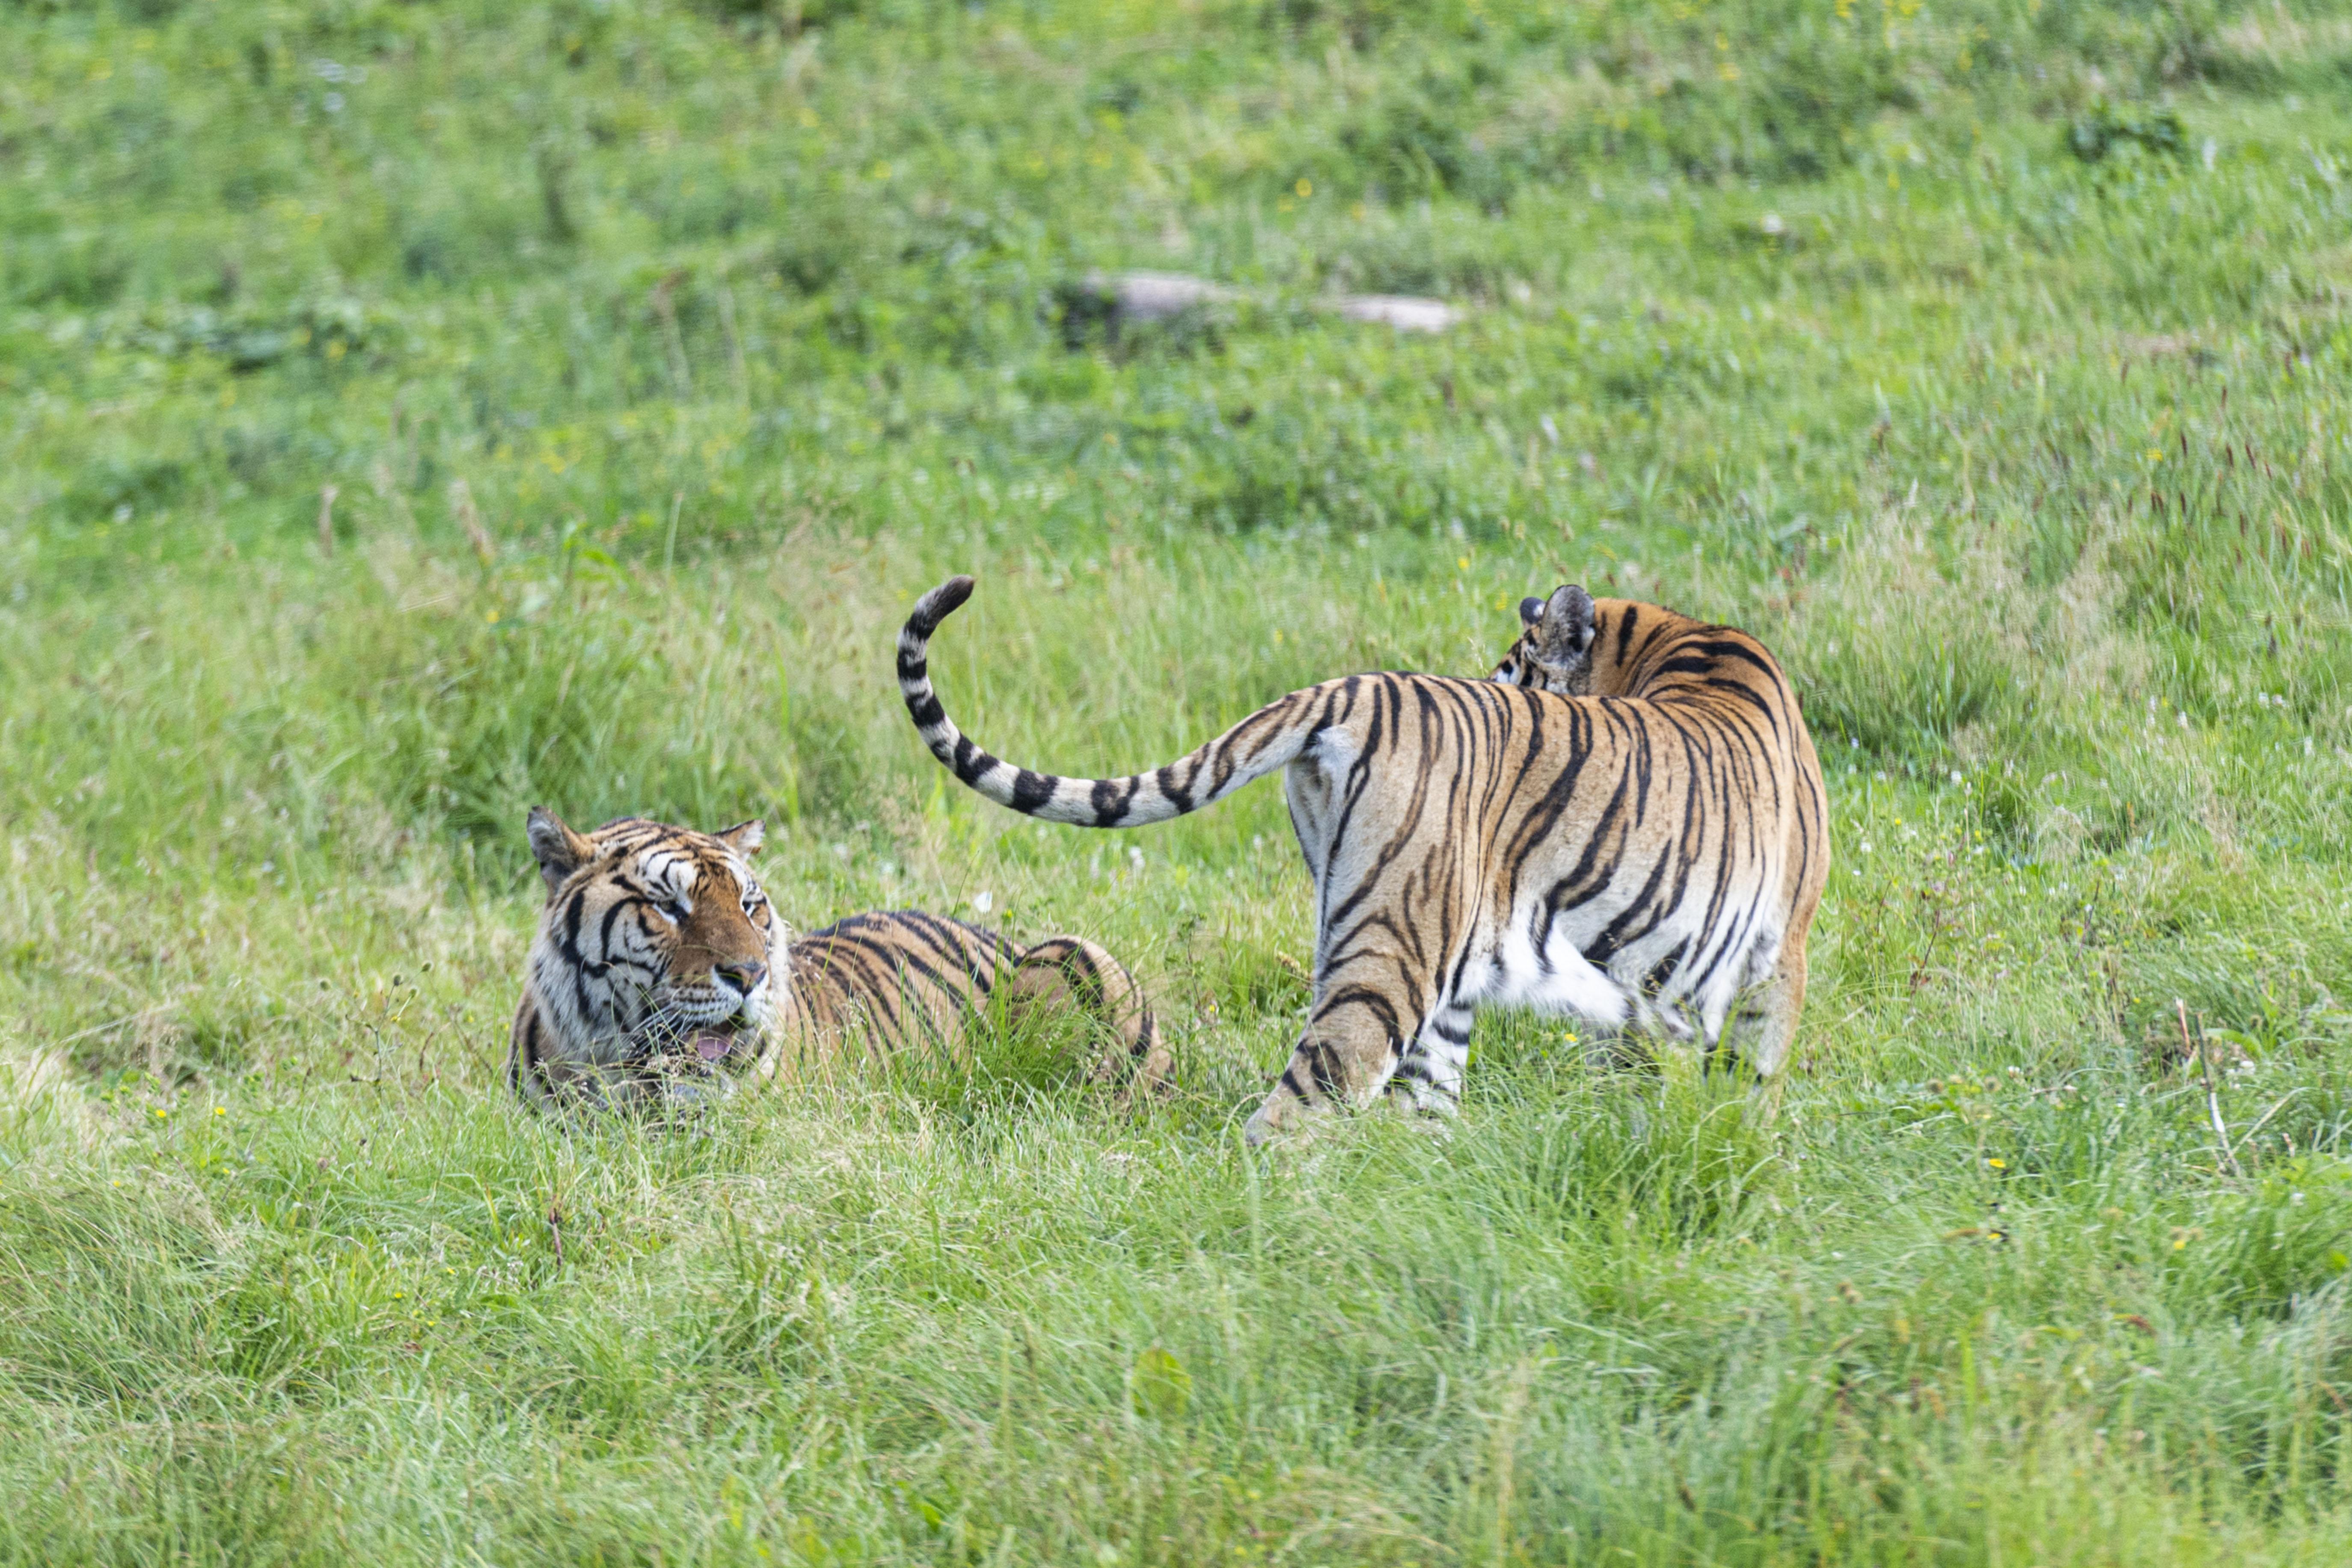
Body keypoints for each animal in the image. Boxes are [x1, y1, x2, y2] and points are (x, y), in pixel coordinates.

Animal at [889, 576, 1825, 1142]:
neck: (1674, 641)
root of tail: (1347, 689)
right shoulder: (1777, 949)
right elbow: (1754, 1074)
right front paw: (1745, 1155)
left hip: (1417, 943)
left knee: (1416, 1109)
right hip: (1398, 956)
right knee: (1296, 1113)